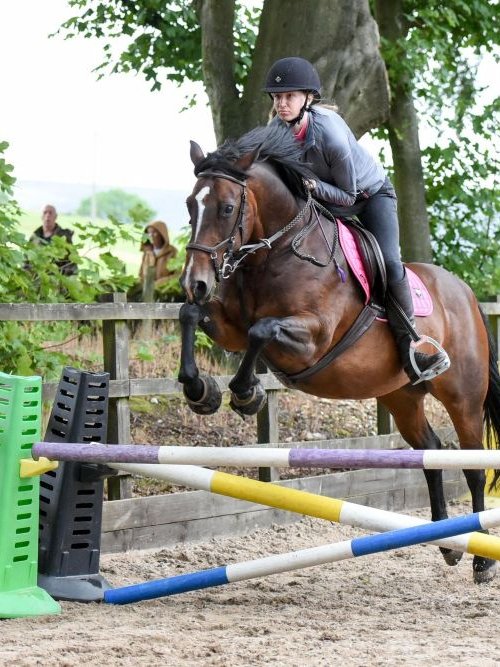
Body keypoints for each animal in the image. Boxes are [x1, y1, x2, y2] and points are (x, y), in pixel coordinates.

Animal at [177, 123, 500, 584]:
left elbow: (262, 330)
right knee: (431, 450)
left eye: (226, 208)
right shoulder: (229, 327)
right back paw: (447, 542)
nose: (196, 282)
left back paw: (481, 559)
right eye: (191, 205)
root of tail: (468, 296)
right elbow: (191, 315)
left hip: (463, 398)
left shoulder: (312, 339)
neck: (278, 250)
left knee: (474, 463)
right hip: (401, 396)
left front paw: (246, 395)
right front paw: (200, 392)